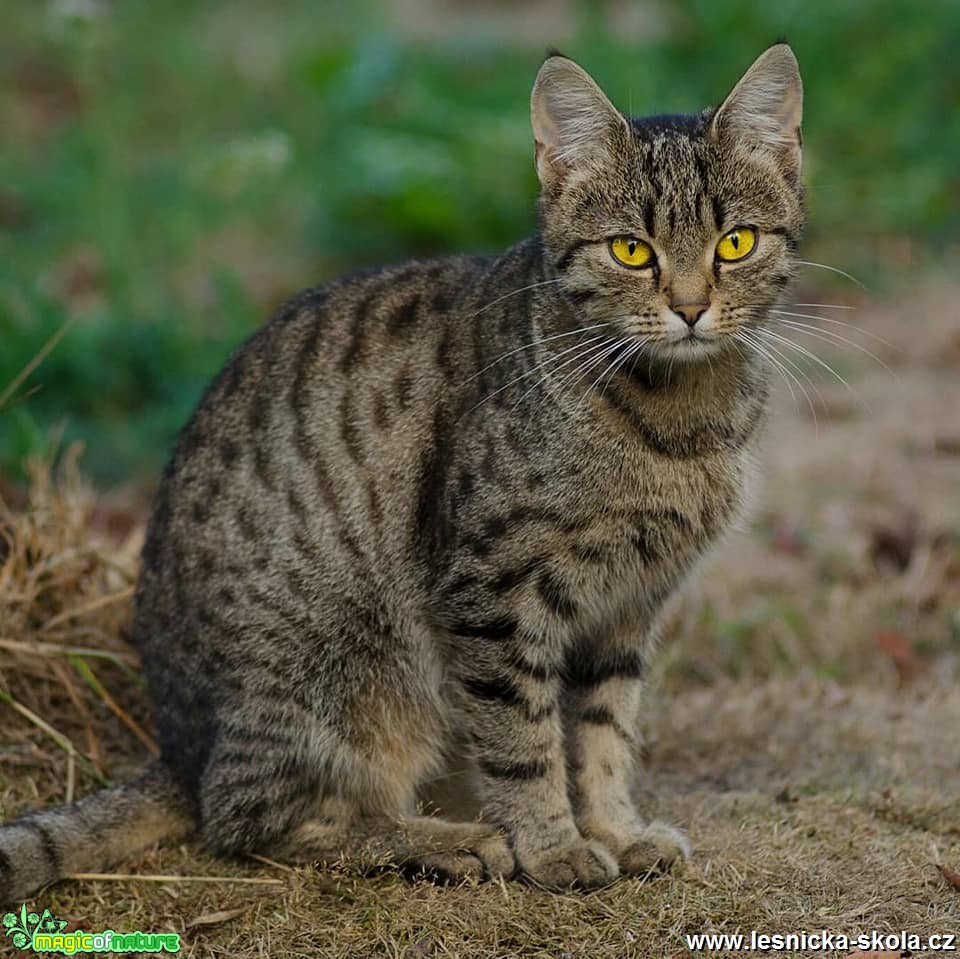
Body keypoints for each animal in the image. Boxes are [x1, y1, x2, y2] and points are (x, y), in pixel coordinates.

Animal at [1, 45, 804, 900]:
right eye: (630, 250)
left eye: (735, 244)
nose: (689, 308)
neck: (682, 414)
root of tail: (178, 756)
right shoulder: (494, 593)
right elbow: (524, 741)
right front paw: (553, 846)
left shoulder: (626, 606)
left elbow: (602, 732)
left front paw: (616, 827)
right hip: (350, 690)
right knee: (254, 821)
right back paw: (447, 842)